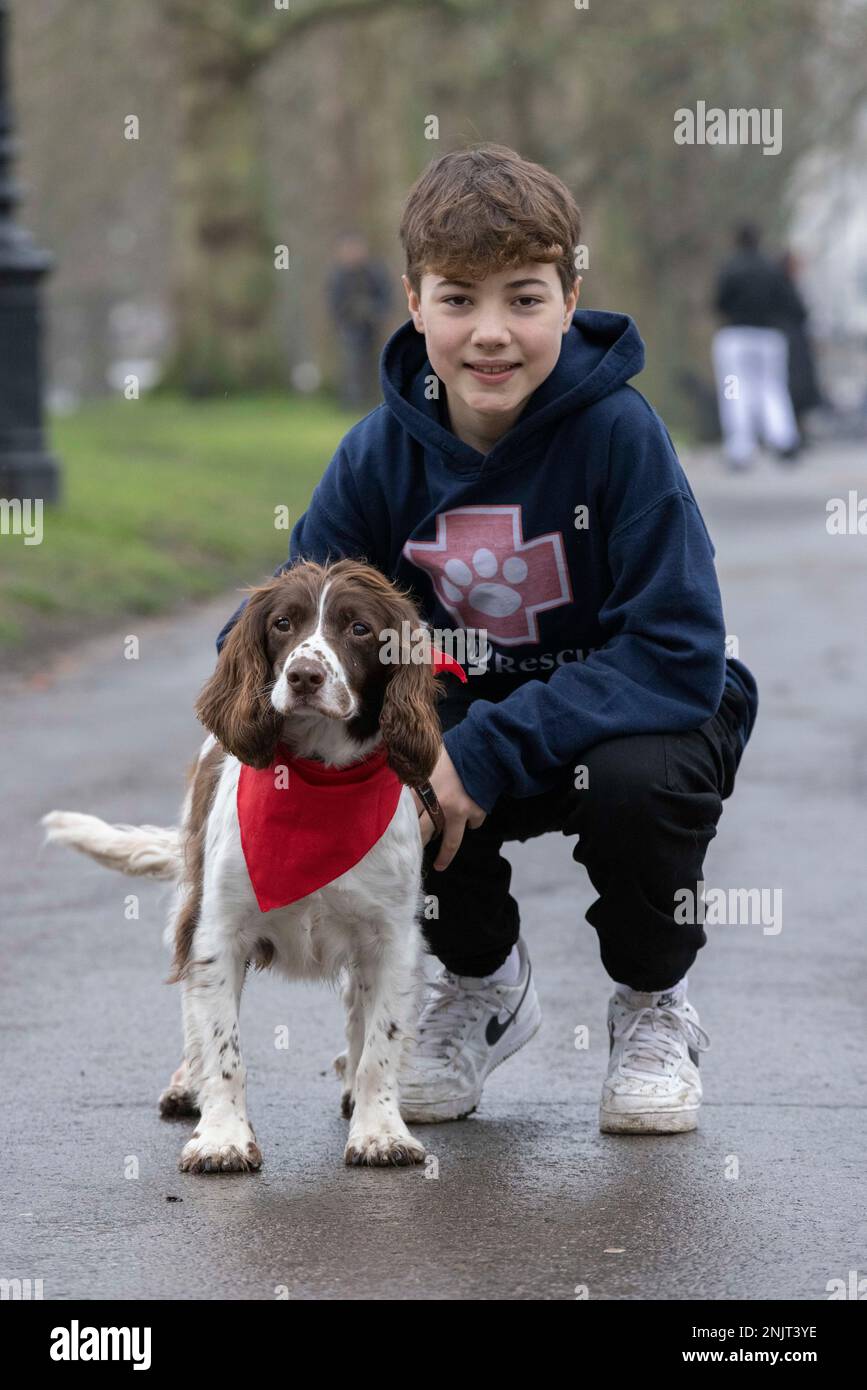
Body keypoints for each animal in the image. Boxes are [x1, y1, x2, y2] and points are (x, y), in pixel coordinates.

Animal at [42, 558, 447, 1167]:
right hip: (192, 904)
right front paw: (222, 1138)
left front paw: (380, 1132)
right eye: (283, 623)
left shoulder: (392, 936)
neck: (318, 783)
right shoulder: (220, 930)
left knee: (356, 1009)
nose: (303, 676)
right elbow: (223, 1047)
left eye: (358, 628)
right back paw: (187, 1086)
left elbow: (382, 1041)